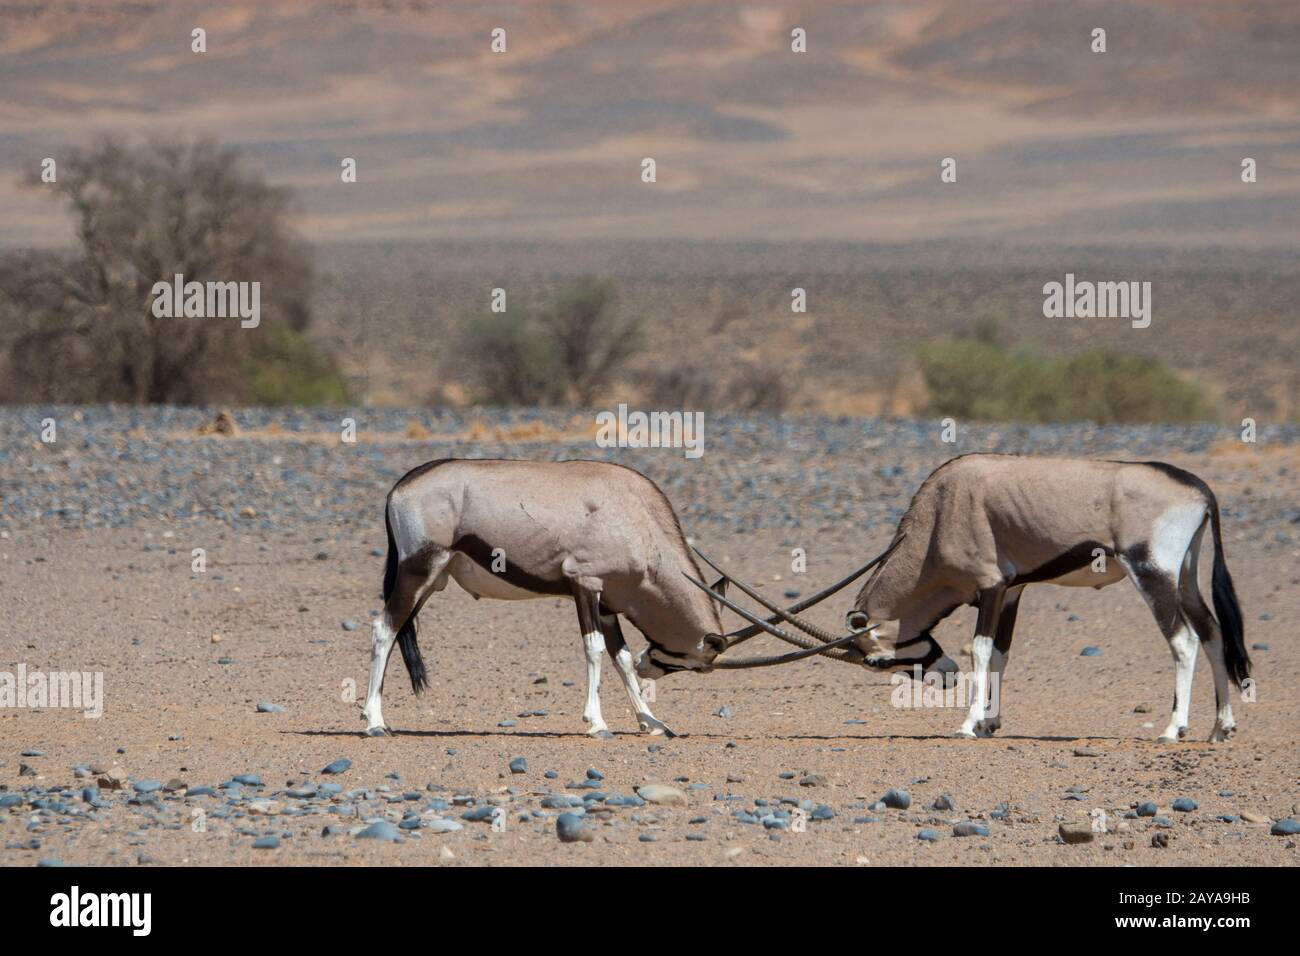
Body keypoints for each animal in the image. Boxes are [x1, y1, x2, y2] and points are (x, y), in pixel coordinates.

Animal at [366, 463, 883, 738]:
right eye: (692, 661)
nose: (653, 665)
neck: (639, 520)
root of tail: (401, 486)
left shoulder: (611, 603)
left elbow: (619, 656)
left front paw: (652, 721)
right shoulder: (586, 585)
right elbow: (595, 650)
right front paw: (597, 723)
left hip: (434, 581)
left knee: (395, 629)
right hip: (419, 569)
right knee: (383, 630)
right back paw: (373, 721)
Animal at [832, 455, 1248, 738]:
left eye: (874, 661)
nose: (947, 676)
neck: (938, 514)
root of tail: (1198, 489)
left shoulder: (990, 585)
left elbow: (980, 649)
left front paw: (968, 723)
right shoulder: (1011, 590)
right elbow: (1000, 653)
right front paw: (989, 722)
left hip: (1152, 573)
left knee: (1184, 641)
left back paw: (1174, 727)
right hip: (1186, 578)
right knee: (1212, 633)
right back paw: (1221, 726)